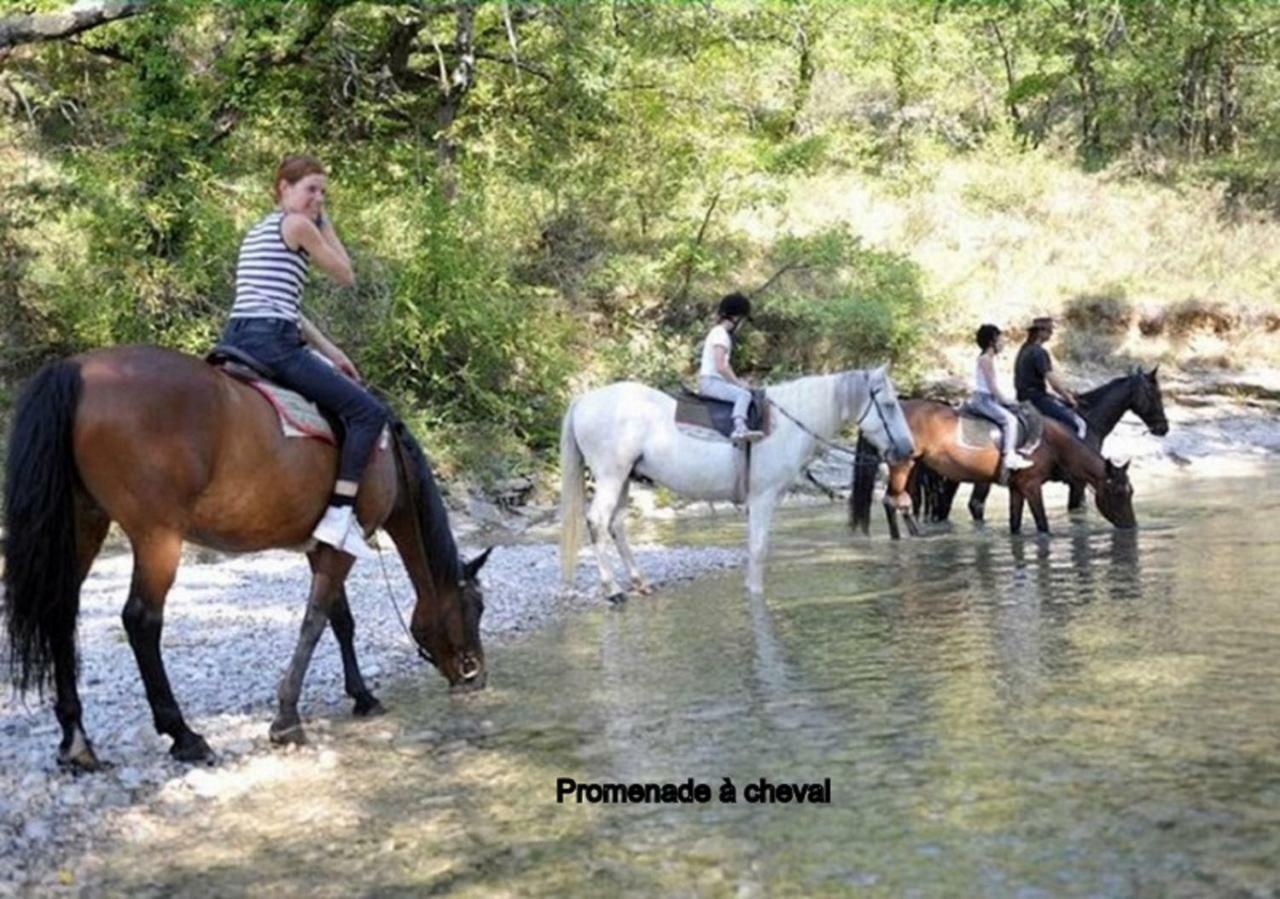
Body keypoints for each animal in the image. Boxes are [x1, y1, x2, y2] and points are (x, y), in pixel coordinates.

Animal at [3, 345, 488, 773]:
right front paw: (288, 718)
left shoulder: (322, 547)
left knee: (61, 611)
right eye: (476, 607)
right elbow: (315, 621)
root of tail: (77, 370)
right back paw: (184, 735)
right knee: (141, 620)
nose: (476, 676)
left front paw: (362, 696)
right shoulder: (342, 547)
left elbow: (340, 620)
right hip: (157, 536)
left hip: (83, 522)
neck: (387, 458)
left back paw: (77, 742)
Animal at [563, 366, 921, 599]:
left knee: (617, 525)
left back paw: (640, 582)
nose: (908, 449)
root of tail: (583, 401)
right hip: (611, 475)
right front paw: (755, 594)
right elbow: (758, 550)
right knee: (598, 521)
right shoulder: (763, 498)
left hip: (625, 478)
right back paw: (612, 589)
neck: (785, 426)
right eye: (889, 405)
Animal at [855, 402, 1136, 542]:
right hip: (903, 464)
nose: (1132, 526)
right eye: (1119, 492)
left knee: (902, 502)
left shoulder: (1017, 488)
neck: (1051, 443)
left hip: (913, 466)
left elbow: (1015, 524)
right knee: (893, 501)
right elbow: (1042, 525)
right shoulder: (1032, 486)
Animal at [911, 368, 1172, 525]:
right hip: (979, 479)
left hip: (953, 477)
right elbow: (1076, 509)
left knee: (945, 506)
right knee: (975, 505)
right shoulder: (1078, 482)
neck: (1090, 420)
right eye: (1154, 394)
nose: (1163, 427)